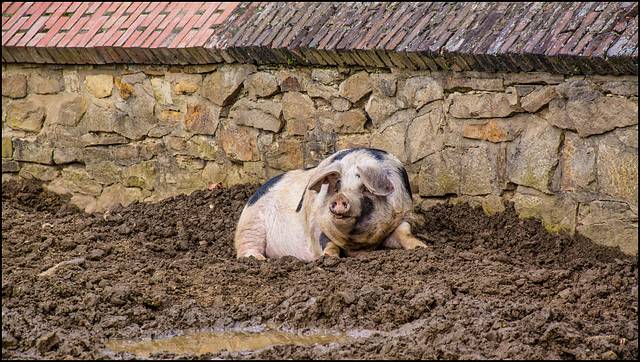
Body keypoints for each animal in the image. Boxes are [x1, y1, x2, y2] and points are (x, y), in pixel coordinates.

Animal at [234, 147, 424, 260]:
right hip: (250, 223)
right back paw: (258, 259)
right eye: (336, 187)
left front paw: (421, 246)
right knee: (246, 247)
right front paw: (329, 258)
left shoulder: (404, 214)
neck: (357, 243)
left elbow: (404, 233)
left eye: (364, 188)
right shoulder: (314, 220)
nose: (340, 198)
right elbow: (327, 242)